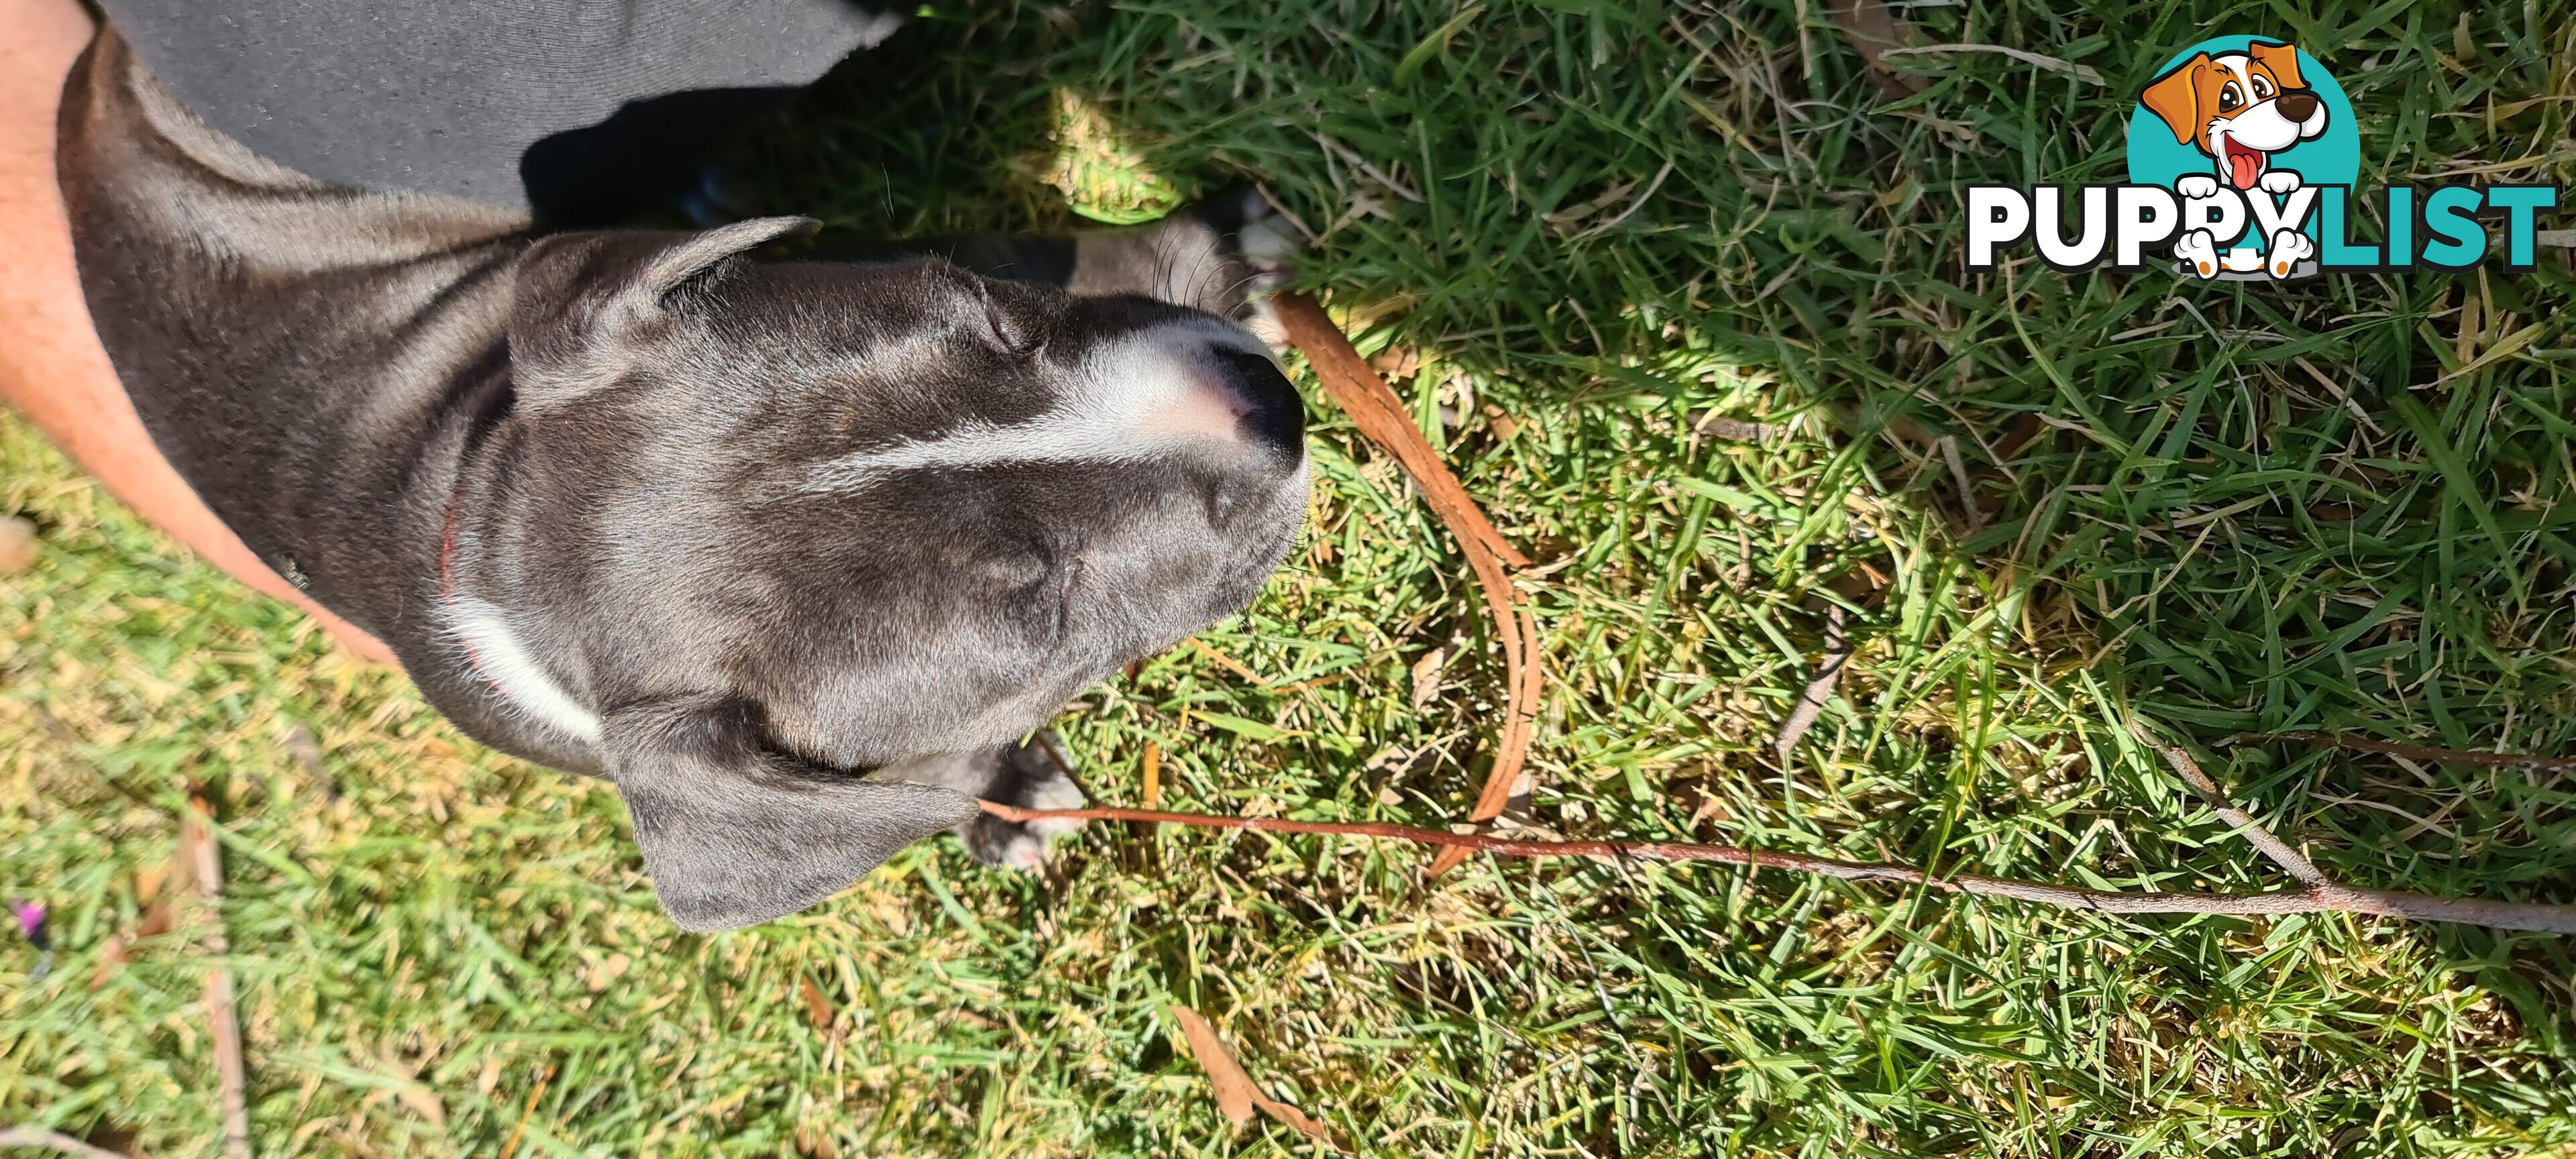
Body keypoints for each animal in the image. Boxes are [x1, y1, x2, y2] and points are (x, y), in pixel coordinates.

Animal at [60, 25, 1308, 932]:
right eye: (1047, 606)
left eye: (995, 322)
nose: (1271, 405)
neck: (492, 501)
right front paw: (1003, 798)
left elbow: (1084, 250)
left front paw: (1217, 247)